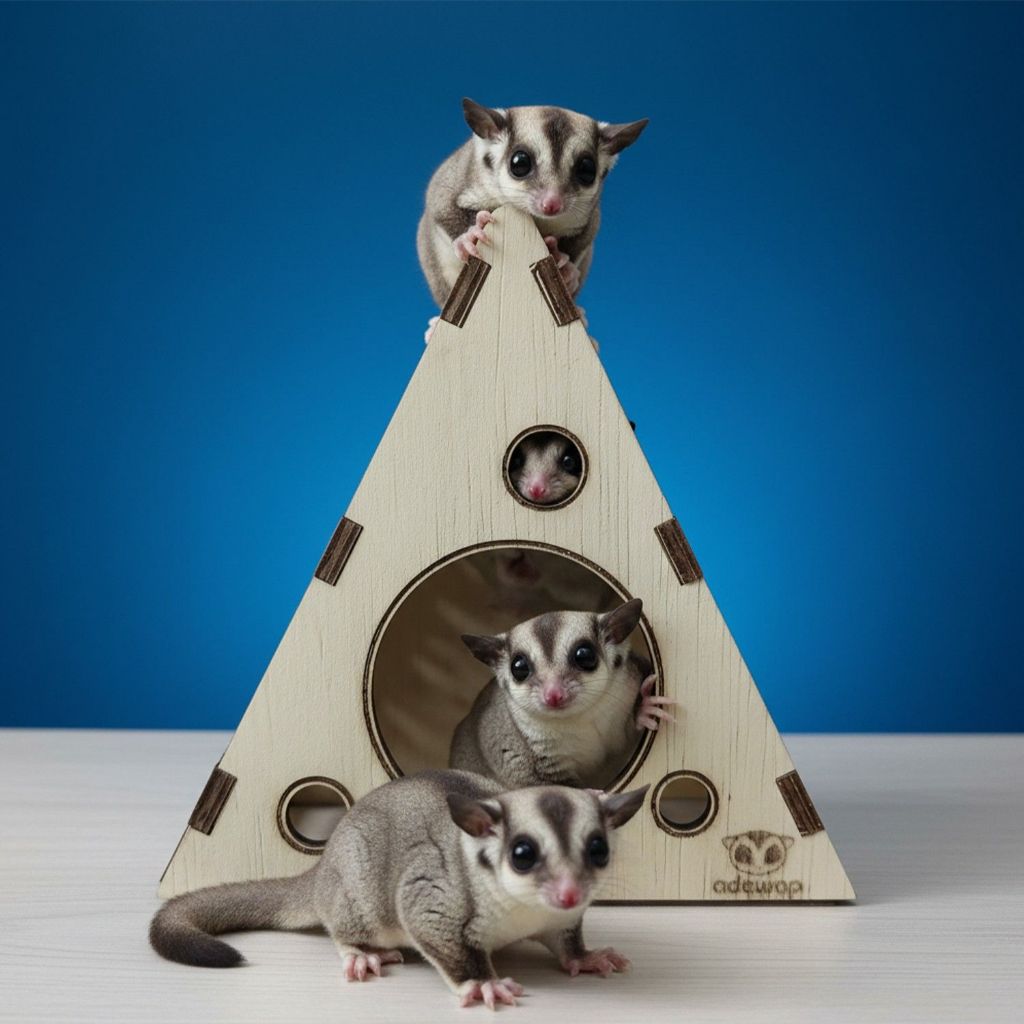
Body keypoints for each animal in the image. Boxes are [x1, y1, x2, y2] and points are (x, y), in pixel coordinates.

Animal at [150, 770, 647, 1008]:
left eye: (599, 850)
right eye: (522, 854)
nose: (569, 894)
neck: (526, 909)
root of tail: (323, 868)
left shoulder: (559, 918)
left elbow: (566, 940)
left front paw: (585, 958)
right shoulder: (436, 892)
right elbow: (427, 922)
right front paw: (482, 984)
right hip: (356, 891)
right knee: (349, 923)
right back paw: (360, 952)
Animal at [450, 599, 673, 789]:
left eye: (584, 656)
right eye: (519, 668)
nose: (553, 694)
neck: (580, 716)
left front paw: (646, 707)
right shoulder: (513, 742)